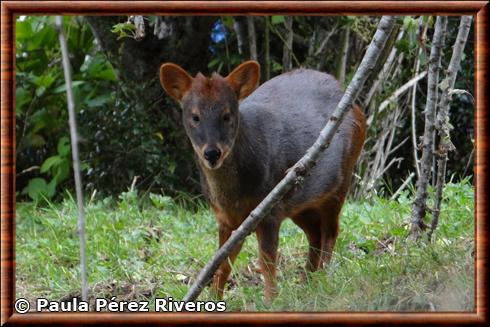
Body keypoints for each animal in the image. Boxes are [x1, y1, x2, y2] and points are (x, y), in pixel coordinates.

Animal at [159, 60, 366, 304]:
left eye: (227, 115)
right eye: (195, 116)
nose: (211, 153)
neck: (233, 197)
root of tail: (357, 107)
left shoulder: (269, 212)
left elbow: (267, 262)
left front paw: (271, 302)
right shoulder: (227, 219)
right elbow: (222, 264)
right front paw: (214, 300)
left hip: (339, 183)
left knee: (330, 232)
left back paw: (321, 281)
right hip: (300, 202)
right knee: (315, 234)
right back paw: (307, 284)